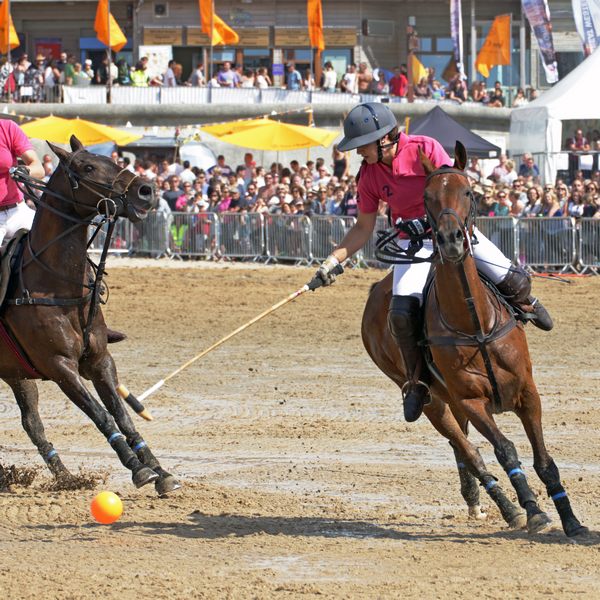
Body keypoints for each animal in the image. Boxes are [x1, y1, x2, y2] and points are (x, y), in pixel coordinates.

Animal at [3, 138, 179, 494]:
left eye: (113, 160)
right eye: (87, 168)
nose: (147, 190)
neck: (57, 284)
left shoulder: (99, 359)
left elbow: (122, 414)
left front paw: (160, 470)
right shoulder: (59, 366)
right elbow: (101, 415)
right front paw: (139, 469)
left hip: (15, 372)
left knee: (32, 424)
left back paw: (65, 477)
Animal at [360, 142, 584, 540]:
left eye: (468, 191)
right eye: (427, 197)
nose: (450, 240)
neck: (475, 323)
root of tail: (376, 289)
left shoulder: (528, 393)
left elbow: (544, 460)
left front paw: (571, 520)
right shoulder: (472, 402)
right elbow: (505, 450)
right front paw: (533, 510)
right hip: (434, 401)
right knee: (466, 449)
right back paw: (507, 507)